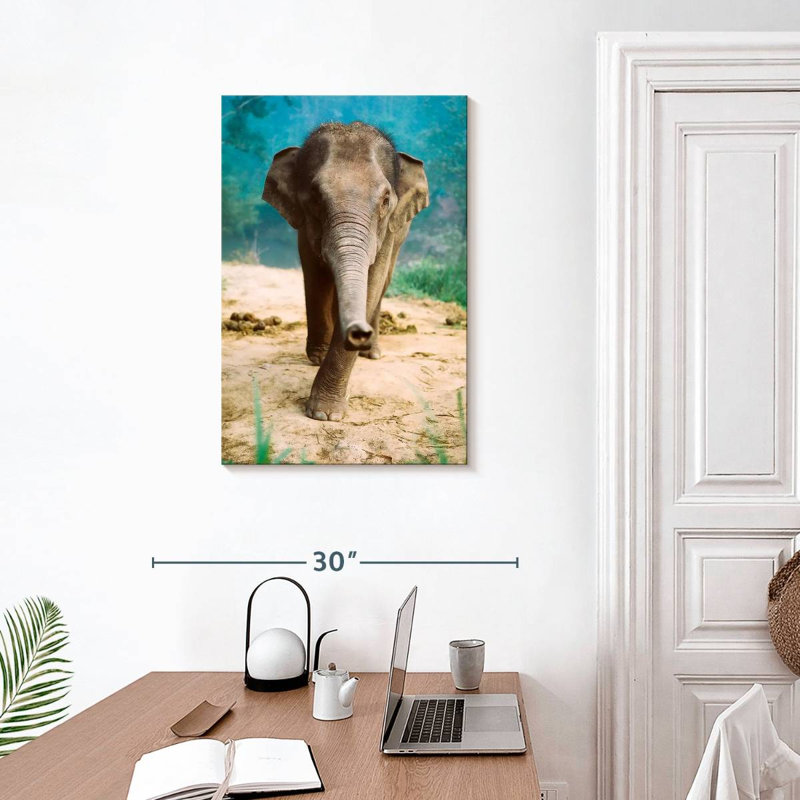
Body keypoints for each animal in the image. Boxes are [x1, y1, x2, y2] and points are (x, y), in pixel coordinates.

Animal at [262, 121, 429, 421]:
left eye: (386, 200)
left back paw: (373, 354)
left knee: (385, 283)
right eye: (316, 198)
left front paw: (325, 414)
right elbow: (314, 275)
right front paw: (318, 367)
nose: (358, 333)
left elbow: (373, 283)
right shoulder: (303, 225)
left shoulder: (388, 230)